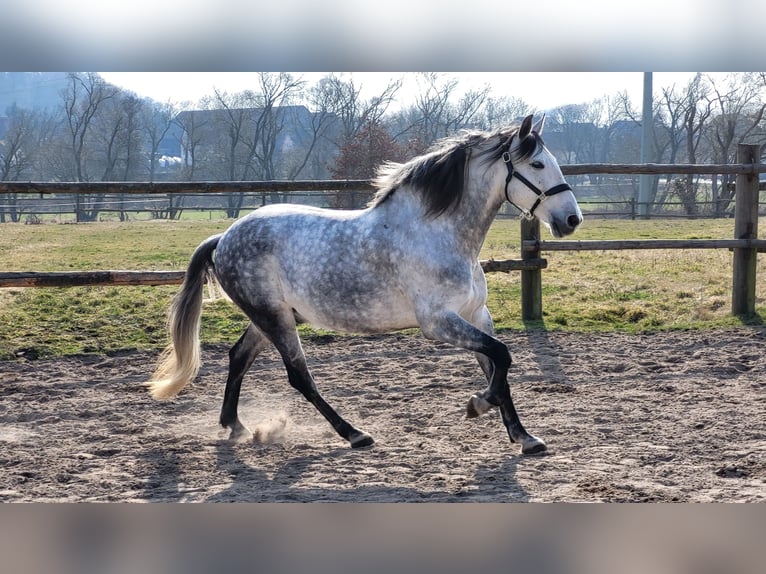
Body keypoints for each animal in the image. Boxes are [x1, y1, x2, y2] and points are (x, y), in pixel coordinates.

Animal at [147, 114, 582, 455]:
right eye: (538, 164)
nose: (571, 220)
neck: (437, 233)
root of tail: (225, 236)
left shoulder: (477, 315)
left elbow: (498, 366)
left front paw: (524, 437)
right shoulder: (439, 323)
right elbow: (502, 358)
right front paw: (477, 404)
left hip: (271, 317)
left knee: (239, 357)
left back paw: (235, 426)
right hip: (275, 319)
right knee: (298, 376)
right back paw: (354, 434)